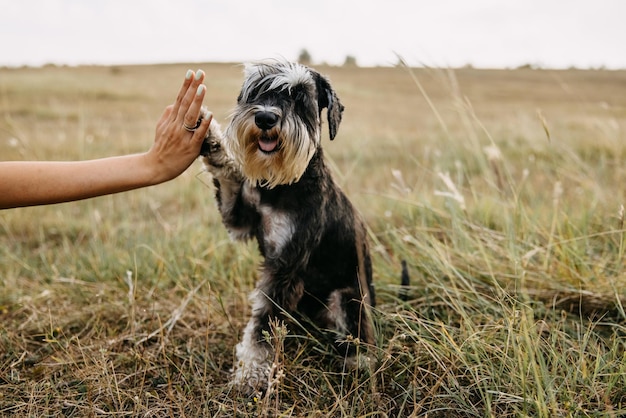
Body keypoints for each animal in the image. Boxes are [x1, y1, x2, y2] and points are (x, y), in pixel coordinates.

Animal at [200, 59, 372, 396]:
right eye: (256, 90)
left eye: (300, 97)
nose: (265, 117)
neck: (281, 185)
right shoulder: (240, 220)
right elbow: (229, 178)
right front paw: (213, 143)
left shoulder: (285, 265)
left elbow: (262, 326)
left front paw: (251, 376)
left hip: (347, 297)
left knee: (359, 338)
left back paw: (356, 364)